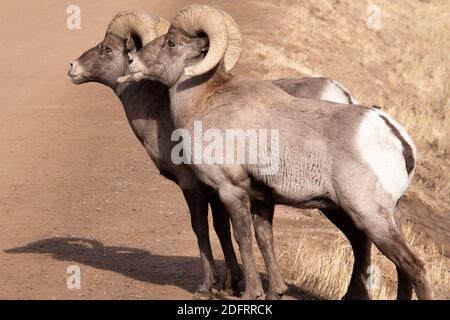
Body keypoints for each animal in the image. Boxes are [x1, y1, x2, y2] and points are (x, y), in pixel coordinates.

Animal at [120, 4, 432, 300]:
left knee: (414, 266)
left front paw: (250, 292)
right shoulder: (261, 199)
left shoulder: (230, 190)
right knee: (401, 267)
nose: (132, 62)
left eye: (171, 42)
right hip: (386, 215)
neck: (204, 103)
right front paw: (273, 292)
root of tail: (397, 138)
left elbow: (242, 238)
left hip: (369, 215)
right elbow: (262, 238)